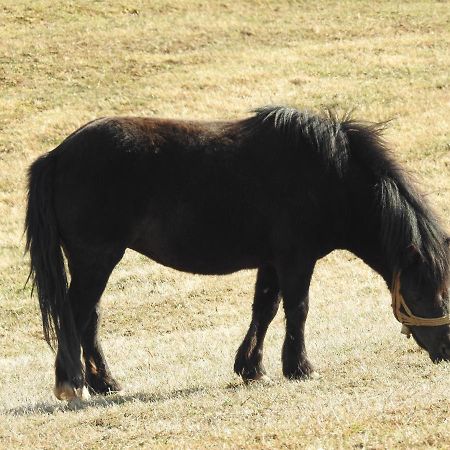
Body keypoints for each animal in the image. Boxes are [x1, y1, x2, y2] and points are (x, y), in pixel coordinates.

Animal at [25, 106, 450, 400]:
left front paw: (251, 367)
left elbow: (265, 309)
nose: (446, 349)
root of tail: (58, 154)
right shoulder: (296, 259)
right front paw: (300, 367)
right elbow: (297, 309)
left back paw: (105, 383)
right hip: (95, 259)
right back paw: (71, 383)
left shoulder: (272, 261)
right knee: (75, 314)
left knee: (89, 318)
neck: (330, 176)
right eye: (424, 293)